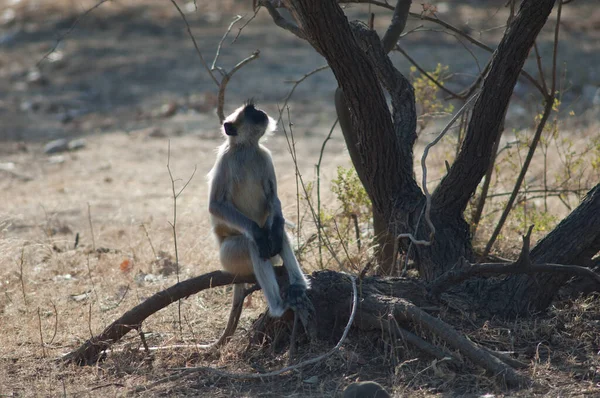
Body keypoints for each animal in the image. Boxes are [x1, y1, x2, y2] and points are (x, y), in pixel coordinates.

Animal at [206, 101, 310, 346]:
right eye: (251, 113)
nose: (261, 112)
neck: (247, 149)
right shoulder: (225, 160)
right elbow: (215, 206)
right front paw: (257, 232)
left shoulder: (265, 156)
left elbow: (274, 199)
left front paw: (277, 227)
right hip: (230, 257)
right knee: (253, 244)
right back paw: (278, 306)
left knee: (277, 234)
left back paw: (298, 286)